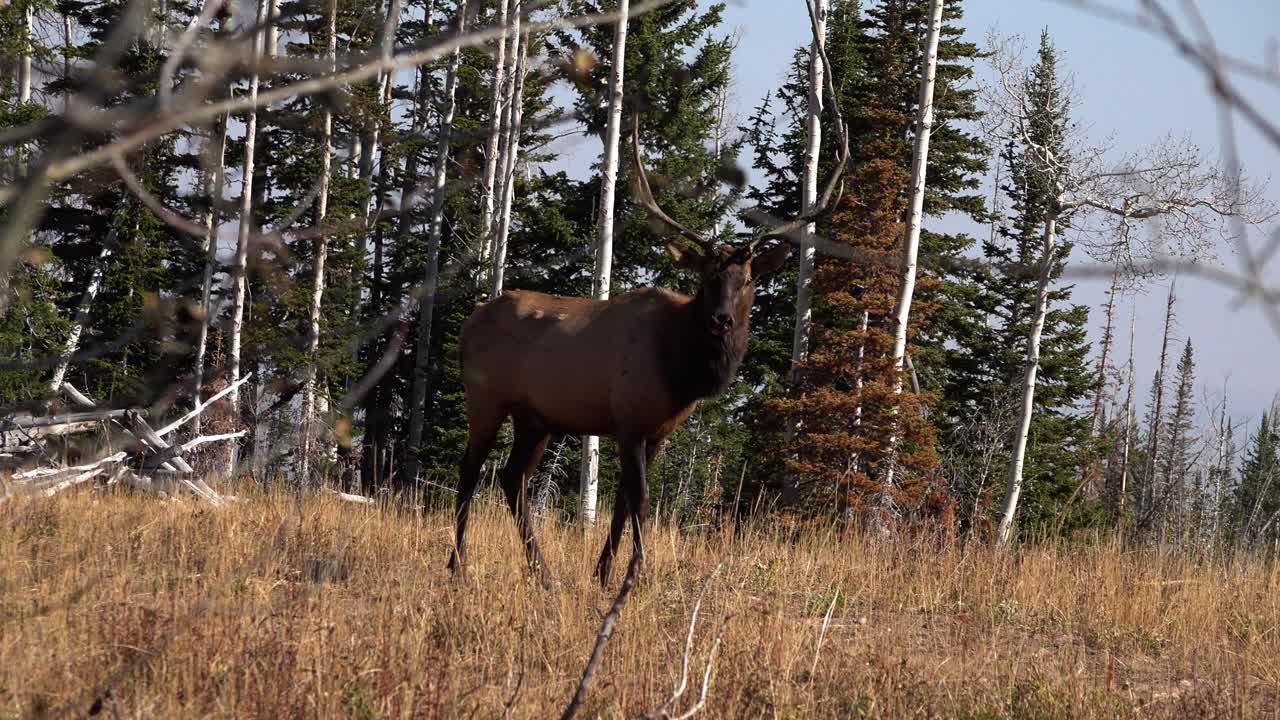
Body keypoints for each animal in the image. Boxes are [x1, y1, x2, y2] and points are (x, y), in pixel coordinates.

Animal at [446, 1, 848, 590]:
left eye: (748, 279)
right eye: (705, 278)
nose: (722, 320)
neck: (682, 367)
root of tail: (469, 322)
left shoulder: (657, 430)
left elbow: (619, 503)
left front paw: (602, 573)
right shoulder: (630, 419)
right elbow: (640, 500)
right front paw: (634, 571)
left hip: (536, 416)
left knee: (511, 479)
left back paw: (544, 572)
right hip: (487, 396)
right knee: (471, 469)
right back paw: (457, 563)